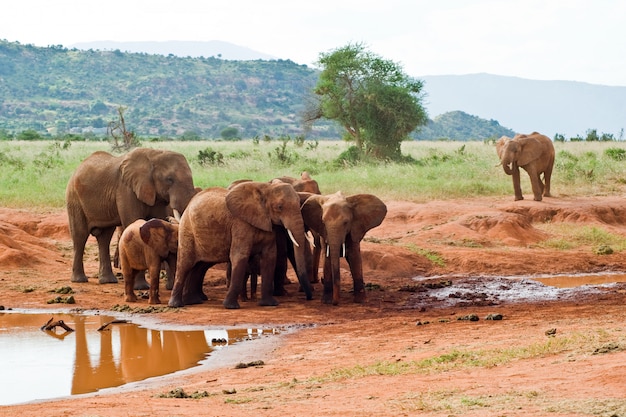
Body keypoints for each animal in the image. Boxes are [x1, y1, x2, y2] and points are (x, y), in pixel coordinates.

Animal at [65, 146, 195, 282]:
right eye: (169, 179)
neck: (154, 154)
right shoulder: (126, 190)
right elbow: (134, 223)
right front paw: (141, 286)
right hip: (74, 198)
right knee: (80, 235)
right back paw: (79, 280)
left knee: (104, 238)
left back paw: (108, 281)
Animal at [168, 182, 312, 308]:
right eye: (280, 207)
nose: (308, 298)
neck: (266, 188)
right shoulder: (240, 224)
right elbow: (240, 256)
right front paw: (230, 307)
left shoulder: (268, 225)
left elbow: (270, 258)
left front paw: (269, 304)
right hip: (187, 230)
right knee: (185, 264)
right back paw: (176, 305)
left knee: (199, 267)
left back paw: (193, 301)